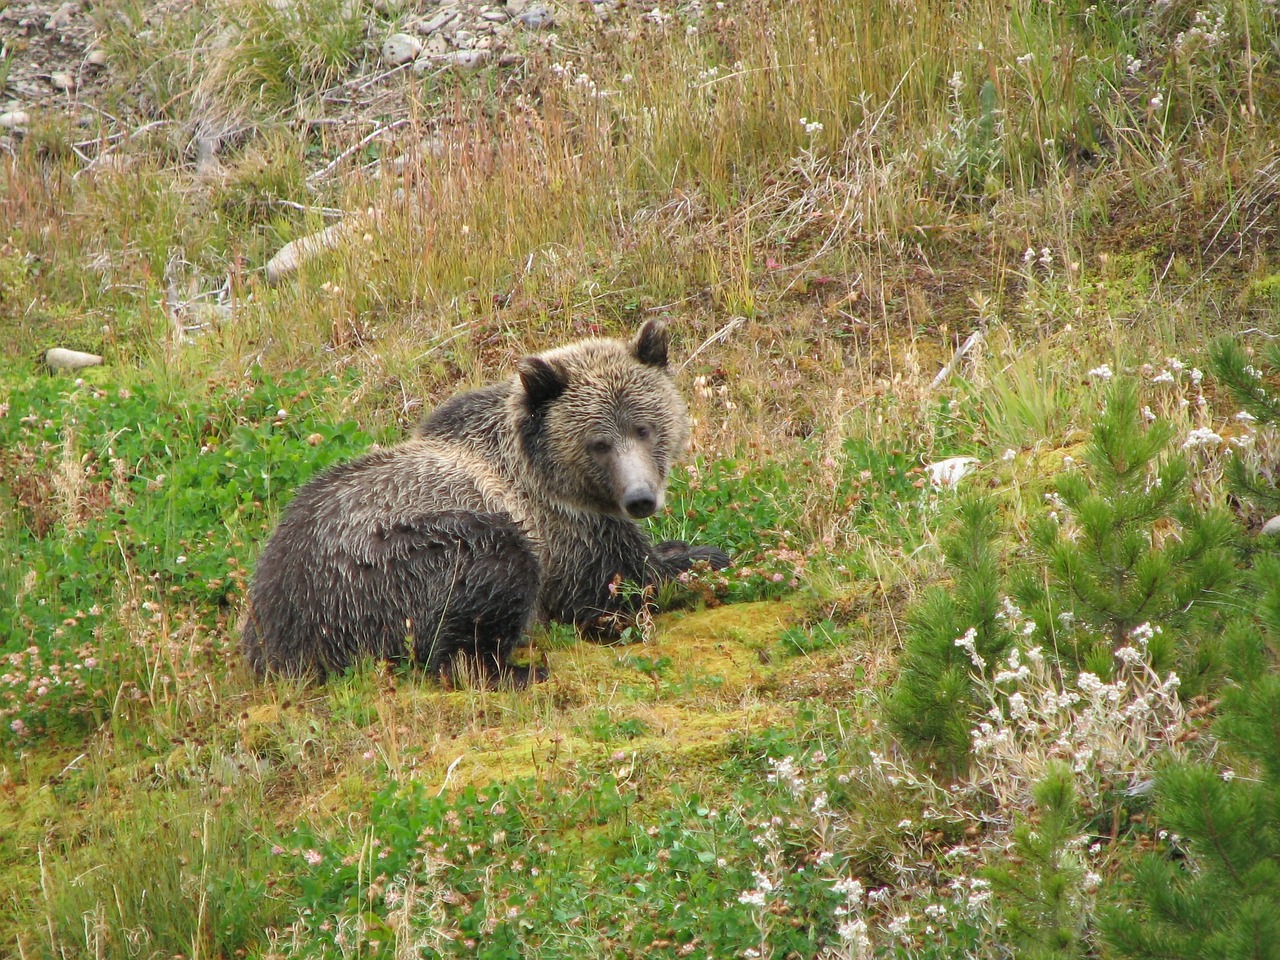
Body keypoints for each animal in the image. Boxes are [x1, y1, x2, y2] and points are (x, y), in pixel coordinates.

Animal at [238, 320, 721, 686]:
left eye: (645, 428)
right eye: (598, 443)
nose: (640, 499)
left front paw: (682, 548)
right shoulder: (562, 528)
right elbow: (615, 585)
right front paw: (708, 559)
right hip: (389, 564)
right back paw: (519, 669)